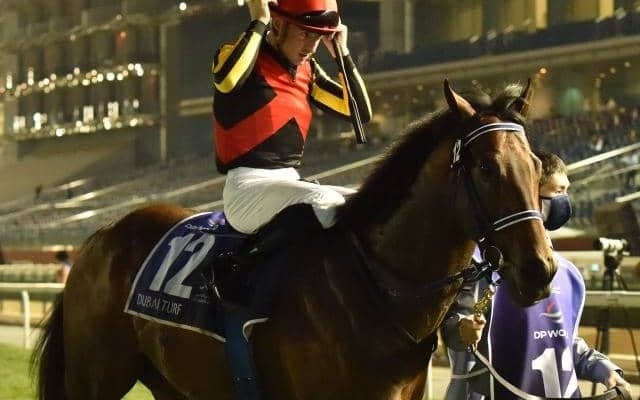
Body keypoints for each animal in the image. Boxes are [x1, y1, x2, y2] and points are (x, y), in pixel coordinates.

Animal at [33, 80, 555, 400]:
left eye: (535, 164)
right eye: (486, 167)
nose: (540, 269)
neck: (377, 286)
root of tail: (101, 235)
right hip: (94, 378)